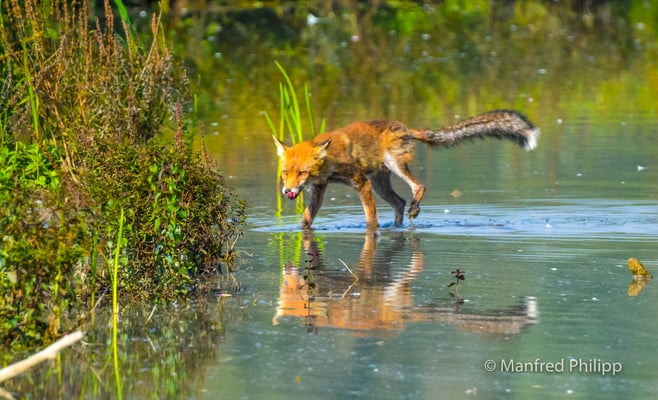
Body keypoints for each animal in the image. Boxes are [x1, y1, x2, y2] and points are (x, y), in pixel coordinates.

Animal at [273, 109, 540, 230]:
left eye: (302, 173)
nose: (287, 191)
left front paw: (372, 233)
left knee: (418, 187)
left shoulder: (360, 182)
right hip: (381, 184)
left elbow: (370, 219)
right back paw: (399, 224)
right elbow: (307, 219)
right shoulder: (320, 188)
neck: (330, 161)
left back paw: (414, 209)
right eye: (285, 173)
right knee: (399, 202)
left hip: (392, 166)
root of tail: (405, 127)